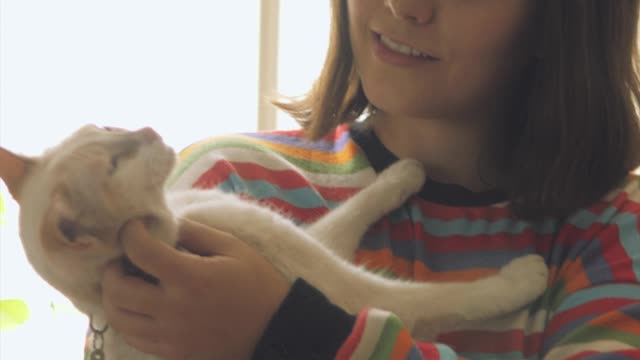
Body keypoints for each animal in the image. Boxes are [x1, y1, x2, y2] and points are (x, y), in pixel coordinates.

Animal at [0, 124, 552, 360]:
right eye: (115, 163)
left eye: (105, 128)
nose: (151, 130)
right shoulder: (344, 287)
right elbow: (448, 297)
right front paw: (526, 275)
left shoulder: (306, 241)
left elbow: (357, 208)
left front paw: (405, 170)